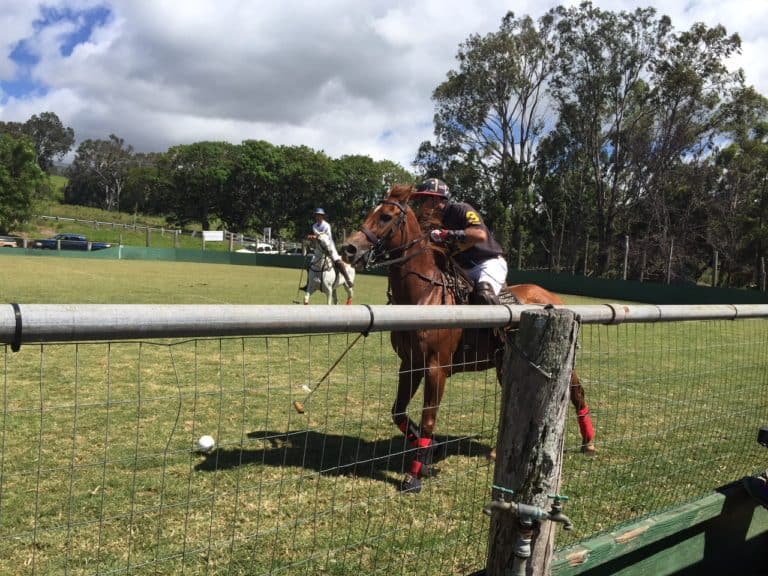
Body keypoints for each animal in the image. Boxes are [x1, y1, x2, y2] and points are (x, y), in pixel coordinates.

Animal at [342, 187, 592, 492]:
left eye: (386, 216)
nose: (349, 249)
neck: (423, 294)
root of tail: (553, 297)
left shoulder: (436, 367)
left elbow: (428, 419)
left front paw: (415, 475)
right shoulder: (409, 364)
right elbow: (399, 413)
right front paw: (432, 451)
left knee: (576, 391)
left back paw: (589, 442)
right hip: (505, 363)